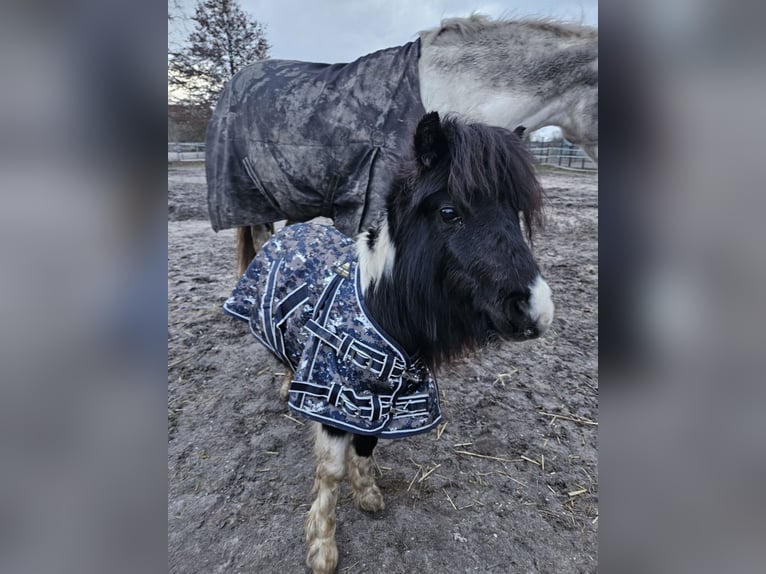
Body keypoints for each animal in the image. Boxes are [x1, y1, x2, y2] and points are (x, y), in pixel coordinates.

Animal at [222, 113, 552, 574]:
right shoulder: (333, 399)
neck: (379, 310)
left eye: (516, 213)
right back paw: (287, 386)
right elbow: (331, 472)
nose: (537, 310)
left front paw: (368, 495)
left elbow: (367, 444)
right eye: (449, 212)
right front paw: (322, 547)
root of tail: (293, 229)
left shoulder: (379, 401)